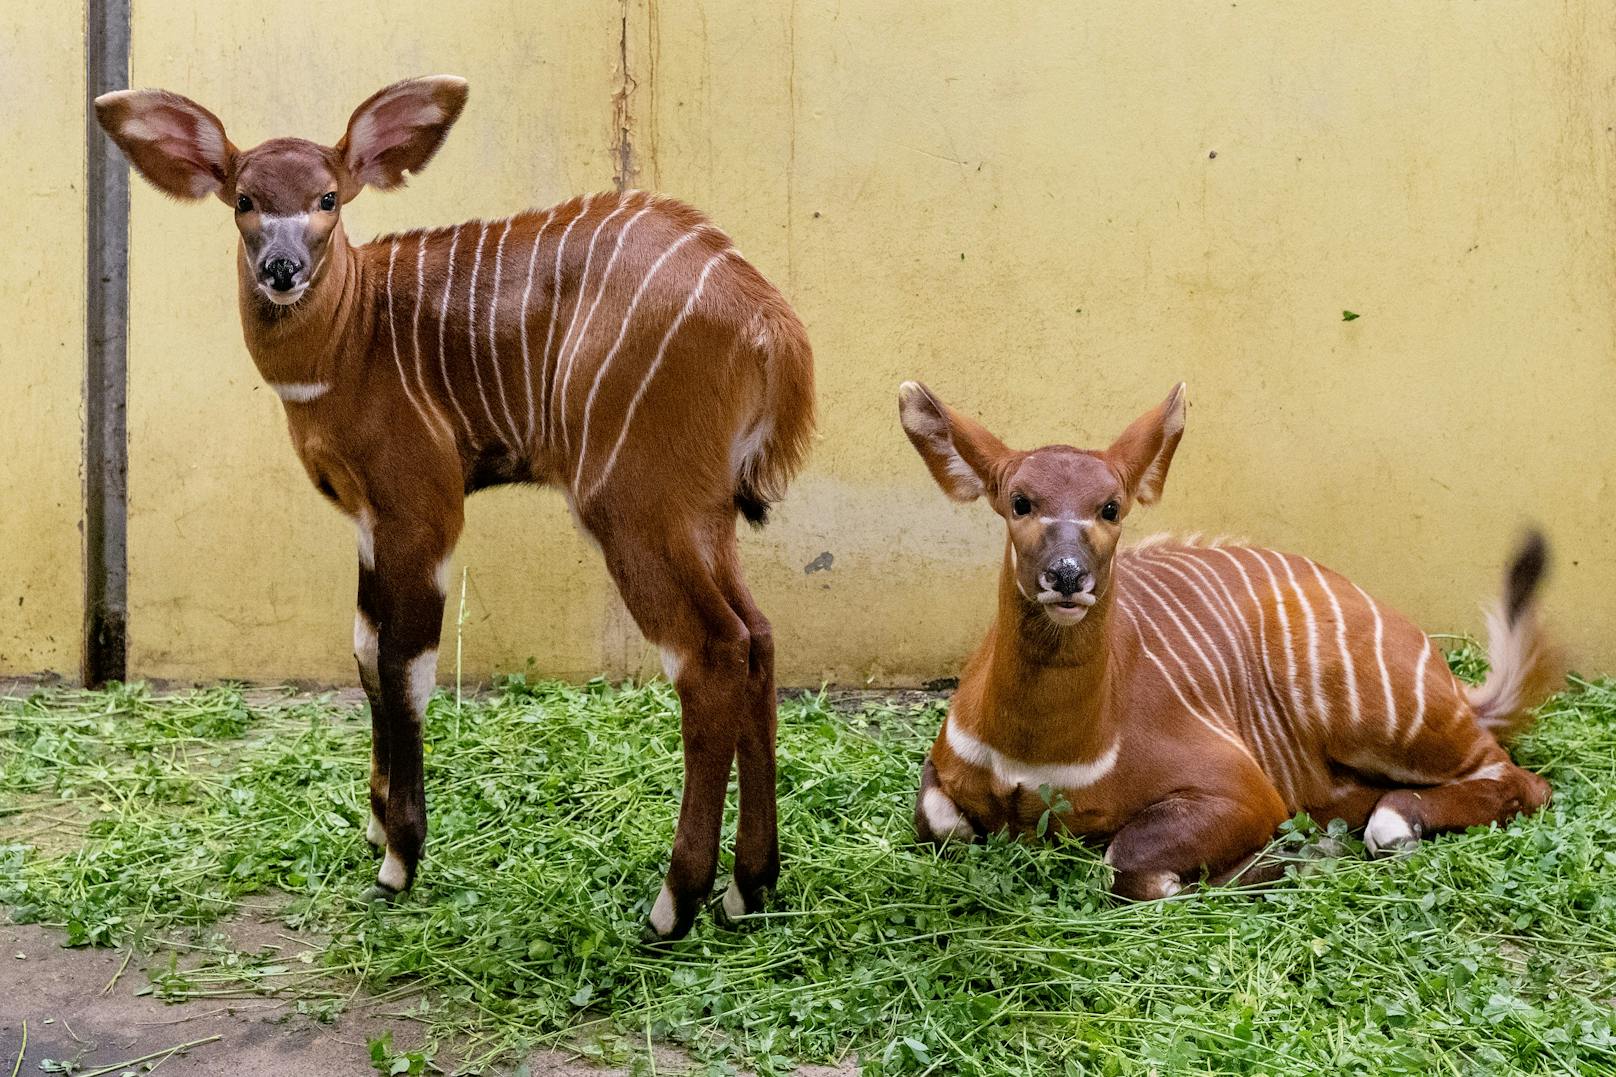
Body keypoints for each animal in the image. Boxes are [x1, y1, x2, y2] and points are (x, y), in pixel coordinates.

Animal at [94, 75, 814, 937]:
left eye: (327, 197)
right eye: (244, 198)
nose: (280, 268)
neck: (352, 335)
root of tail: (772, 322)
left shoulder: (421, 508)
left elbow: (405, 665)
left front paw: (399, 860)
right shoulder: (372, 521)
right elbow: (365, 650)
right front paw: (375, 827)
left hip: (633, 506)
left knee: (709, 655)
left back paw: (673, 905)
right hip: (701, 516)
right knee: (757, 637)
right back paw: (750, 887)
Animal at [904, 381, 1557, 892]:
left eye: (1111, 507)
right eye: (1019, 502)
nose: (1067, 576)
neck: (1039, 753)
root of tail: (1454, 686)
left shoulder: (1242, 791)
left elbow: (1129, 862)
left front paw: (1291, 857)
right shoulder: (942, 777)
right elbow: (939, 822)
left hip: (1382, 716)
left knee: (1521, 780)